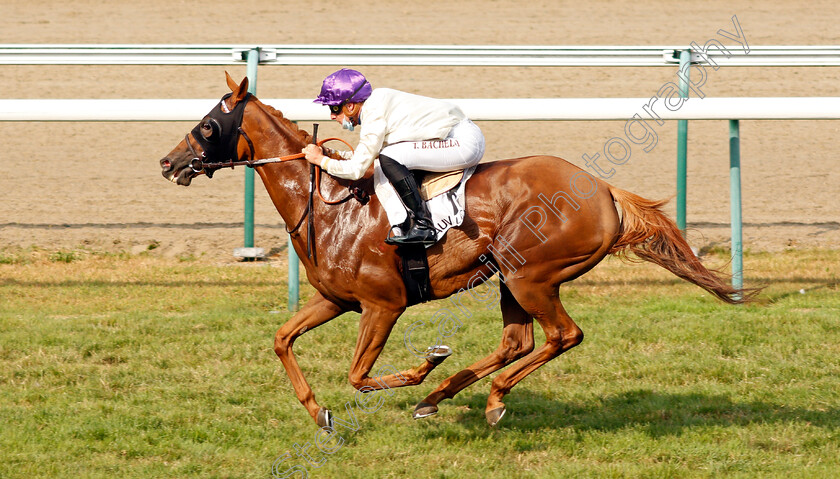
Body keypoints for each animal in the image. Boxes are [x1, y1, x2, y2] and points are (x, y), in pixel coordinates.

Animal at [161, 74, 752, 428]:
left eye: (208, 124)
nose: (169, 162)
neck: (329, 205)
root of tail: (604, 190)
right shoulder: (335, 299)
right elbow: (283, 340)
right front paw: (320, 414)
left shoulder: (383, 305)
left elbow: (359, 374)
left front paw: (423, 365)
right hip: (512, 278)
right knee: (518, 341)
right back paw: (446, 397)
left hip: (531, 276)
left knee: (563, 335)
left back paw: (483, 397)